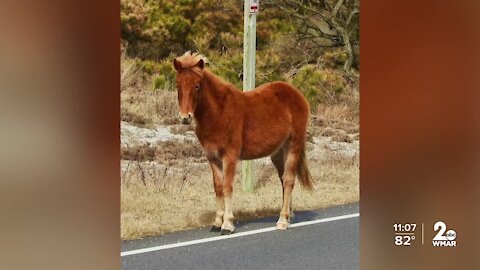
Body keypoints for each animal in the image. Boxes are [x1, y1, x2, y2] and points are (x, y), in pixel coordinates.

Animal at [174, 51, 314, 233]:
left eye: (197, 85)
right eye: (177, 85)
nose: (185, 117)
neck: (219, 112)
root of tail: (298, 95)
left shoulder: (229, 156)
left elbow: (227, 186)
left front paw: (227, 224)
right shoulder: (212, 157)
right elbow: (217, 187)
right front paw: (217, 222)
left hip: (293, 146)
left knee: (289, 180)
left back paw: (282, 220)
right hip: (278, 152)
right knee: (283, 179)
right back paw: (288, 216)